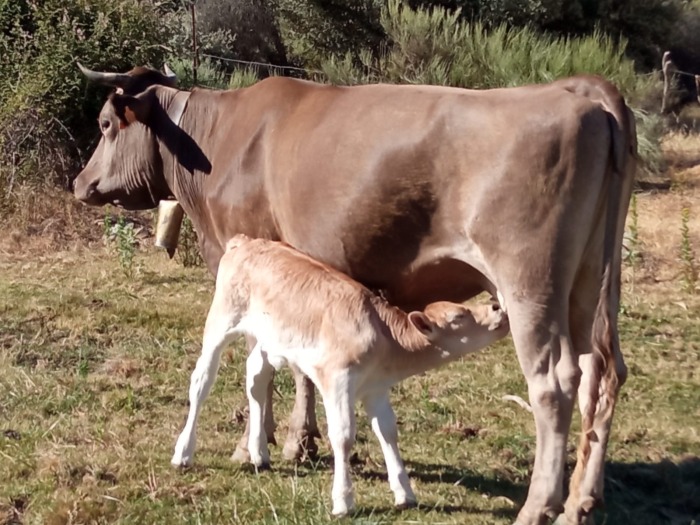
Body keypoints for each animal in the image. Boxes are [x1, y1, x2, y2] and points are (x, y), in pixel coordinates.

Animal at [73, 63, 636, 525]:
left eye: (104, 125)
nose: (80, 183)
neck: (219, 141)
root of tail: (582, 93)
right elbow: (296, 364)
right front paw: (299, 441)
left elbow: (264, 367)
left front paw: (258, 445)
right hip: (590, 282)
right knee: (601, 372)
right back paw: (582, 501)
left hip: (530, 281)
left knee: (555, 382)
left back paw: (539, 507)